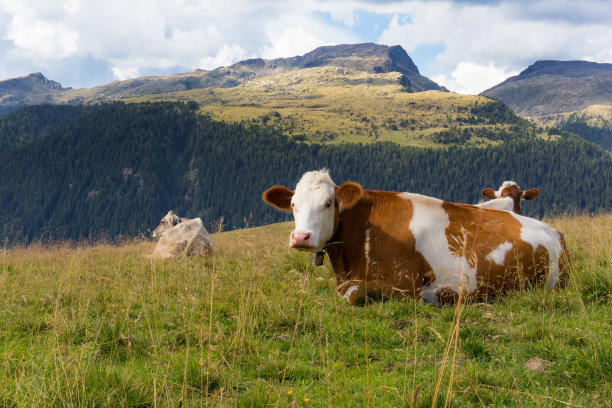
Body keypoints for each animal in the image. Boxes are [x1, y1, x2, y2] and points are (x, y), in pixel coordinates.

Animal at [262, 170, 568, 306]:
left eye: (327, 203)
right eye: (293, 205)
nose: (301, 237)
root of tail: (553, 231)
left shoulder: (404, 286)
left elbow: (354, 295)